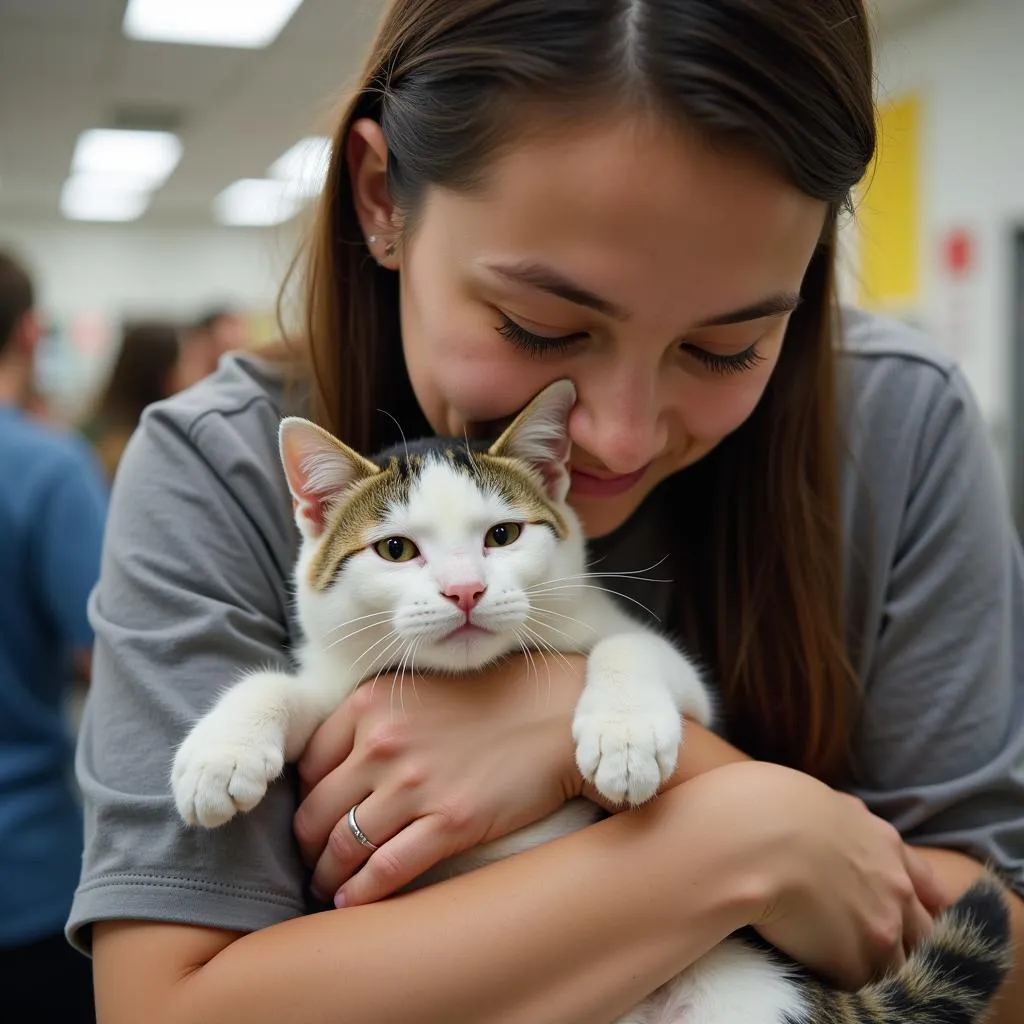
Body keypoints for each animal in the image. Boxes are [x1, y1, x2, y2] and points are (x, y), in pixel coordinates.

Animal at [172, 382, 1011, 1024]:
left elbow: (625, 649)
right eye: (396, 550)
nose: (465, 590)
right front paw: (218, 755)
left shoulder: (670, 671)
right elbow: (275, 683)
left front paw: (625, 737)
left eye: (503, 535)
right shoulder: (340, 676)